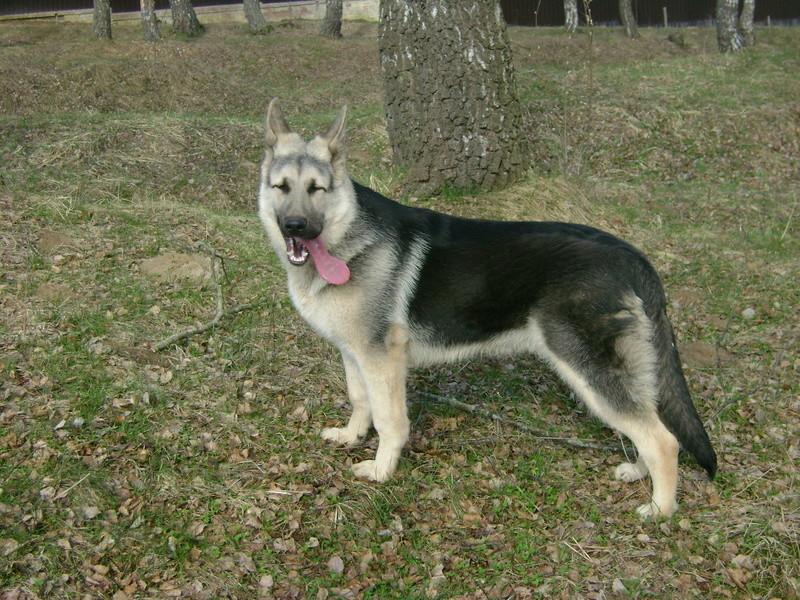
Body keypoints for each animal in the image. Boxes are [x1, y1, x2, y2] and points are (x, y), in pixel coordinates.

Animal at [260, 101, 716, 516]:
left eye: (317, 189)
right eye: (282, 187)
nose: (296, 227)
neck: (347, 237)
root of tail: (630, 255)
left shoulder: (382, 361)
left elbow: (389, 420)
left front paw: (382, 469)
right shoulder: (354, 355)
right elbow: (360, 401)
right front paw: (353, 437)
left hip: (589, 372)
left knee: (663, 439)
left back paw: (660, 509)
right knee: (650, 425)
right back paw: (639, 473)